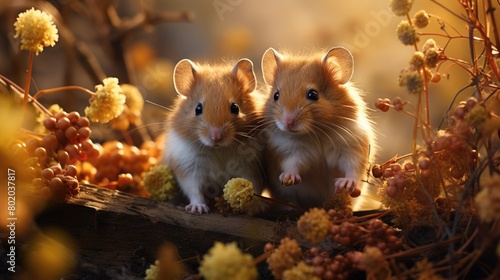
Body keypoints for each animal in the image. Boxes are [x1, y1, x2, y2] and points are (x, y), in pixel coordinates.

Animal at [163, 58, 266, 213]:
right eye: (198, 108)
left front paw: (257, 208)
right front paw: (198, 209)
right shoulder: (189, 167)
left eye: (235, 107)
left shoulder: (249, 166)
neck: (218, 149)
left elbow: (253, 187)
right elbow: (195, 190)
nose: (216, 136)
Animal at [262, 46, 376, 210]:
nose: (287, 122)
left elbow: (352, 168)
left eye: (313, 94)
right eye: (276, 95)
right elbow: (293, 164)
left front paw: (345, 184)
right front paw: (287, 178)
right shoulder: (293, 150)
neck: (317, 132)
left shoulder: (352, 148)